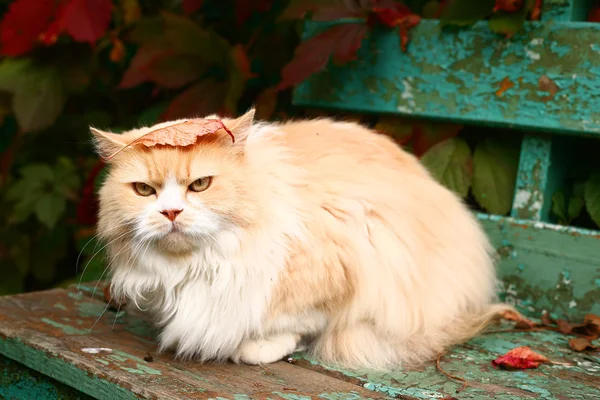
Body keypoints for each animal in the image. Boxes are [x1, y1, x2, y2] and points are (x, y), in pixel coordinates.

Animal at [92, 108, 510, 368]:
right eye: (144, 191)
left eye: (200, 185)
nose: (171, 213)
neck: (204, 264)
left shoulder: (347, 263)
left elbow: (298, 321)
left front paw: (257, 347)